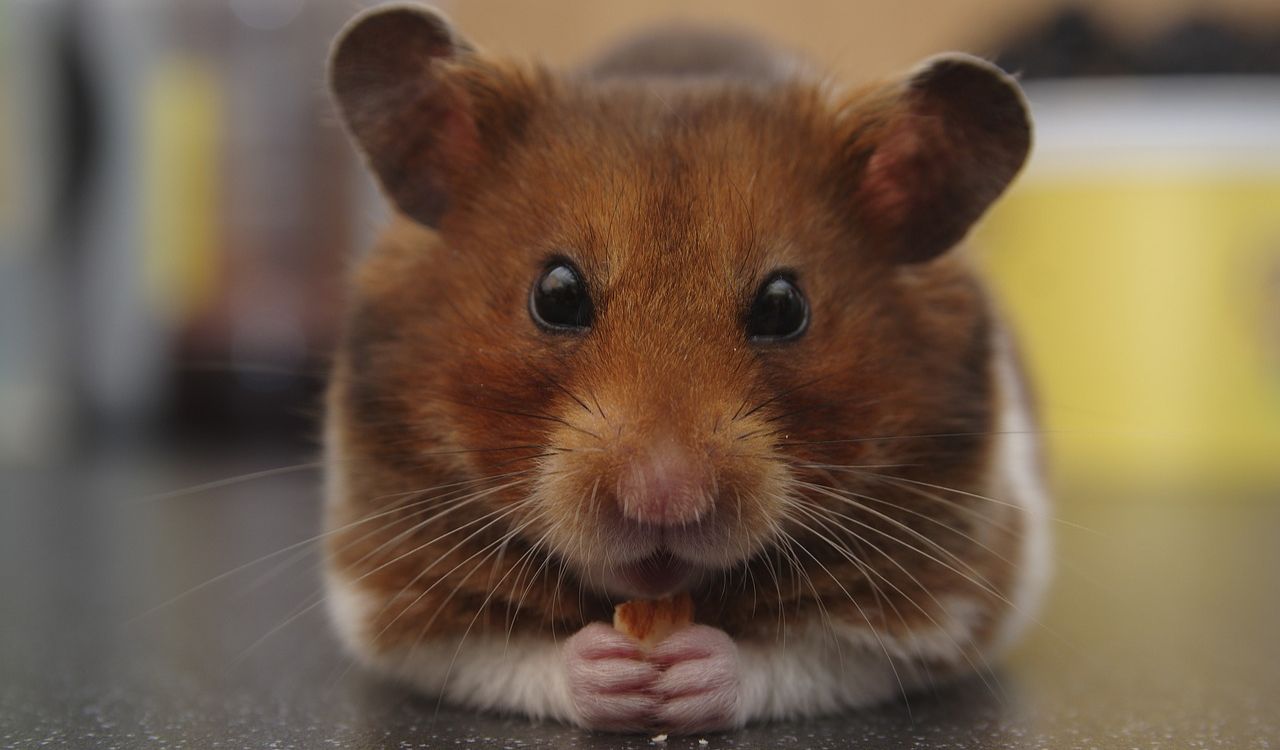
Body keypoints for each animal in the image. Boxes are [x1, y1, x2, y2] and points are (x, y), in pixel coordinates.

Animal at [321, 3, 1050, 735]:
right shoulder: (389, 595)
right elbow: (506, 654)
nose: (663, 499)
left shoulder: (946, 603)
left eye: (784, 306)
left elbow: (801, 657)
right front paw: (613, 670)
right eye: (555, 294)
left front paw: (687, 670)